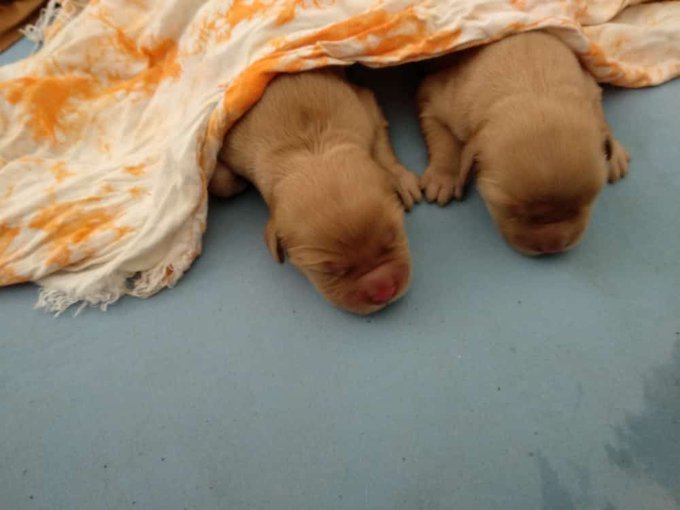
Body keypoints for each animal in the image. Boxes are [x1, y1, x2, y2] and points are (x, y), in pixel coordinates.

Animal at [210, 68, 421, 314]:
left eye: (393, 237)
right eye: (329, 270)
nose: (384, 291)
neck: (311, 147)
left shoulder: (365, 109)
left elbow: (381, 142)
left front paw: (400, 178)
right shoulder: (233, 143)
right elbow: (220, 178)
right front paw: (237, 183)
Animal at [417, 31, 630, 255]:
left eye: (586, 201)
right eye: (509, 209)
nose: (552, 247)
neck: (534, 86)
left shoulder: (589, 87)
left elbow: (599, 114)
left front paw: (615, 153)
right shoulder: (436, 100)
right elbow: (444, 140)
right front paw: (443, 178)